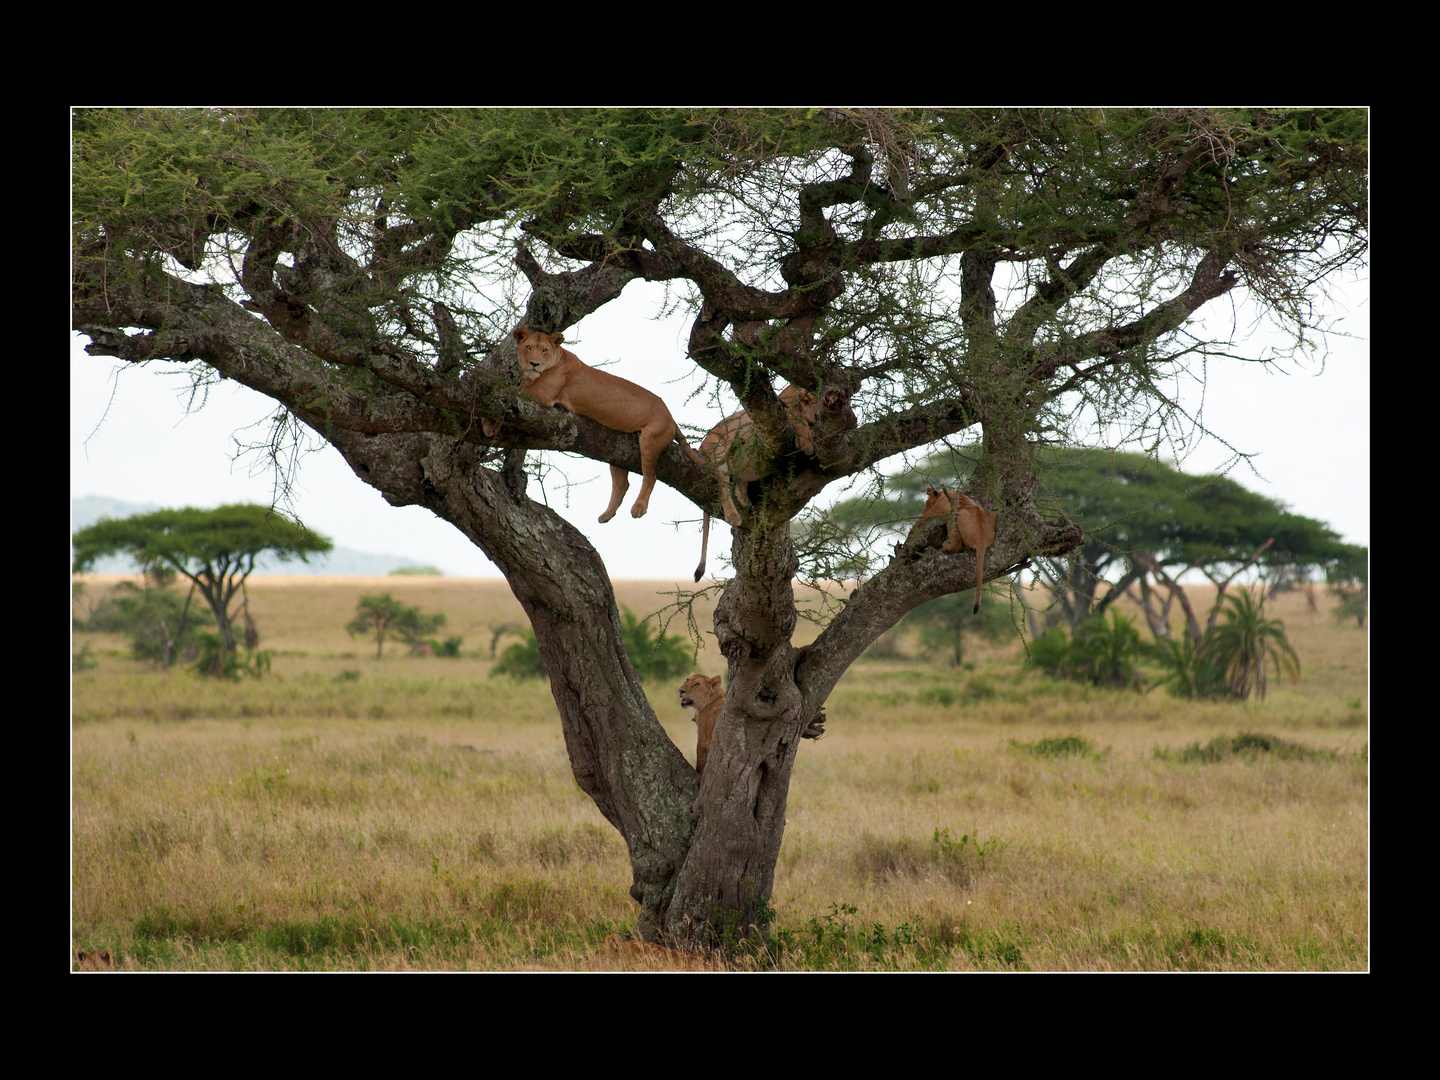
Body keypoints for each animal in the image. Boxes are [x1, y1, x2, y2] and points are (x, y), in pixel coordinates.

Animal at [483, 329, 702, 524]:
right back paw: (607, 515)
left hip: (650, 440)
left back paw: (639, 507)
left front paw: (487, 419)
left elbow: (507, 390)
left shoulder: (542, 394)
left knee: (651, 476)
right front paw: (490, 426)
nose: (534, 364)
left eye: (544, 350)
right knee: (622, 483)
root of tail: (671, 417)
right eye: (528, 347)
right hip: (618, 451)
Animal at [691, 383, 817, 578]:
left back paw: (744, 500)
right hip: (718, 449)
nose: (818, 417)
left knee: (738, 485)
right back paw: (734, 516)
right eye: (814, 401)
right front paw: (808, 443)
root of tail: (702, 447)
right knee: (724, 486)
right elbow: (798, 424)